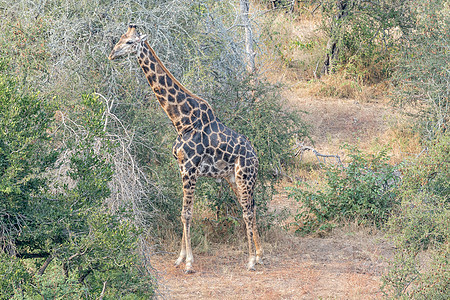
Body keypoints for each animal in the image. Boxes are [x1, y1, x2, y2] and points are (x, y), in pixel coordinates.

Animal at [109, 24, 262, 274]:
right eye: (120, 38)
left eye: (130, 42)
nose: (112, 54)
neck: (181, 121)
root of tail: (256, 157)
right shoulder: (182, 167)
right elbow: (182, 213)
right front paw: (180, 258)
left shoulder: (190, 168)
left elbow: (186, 214)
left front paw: (189, 263)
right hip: (233, 177)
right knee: (250, 207)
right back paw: (259, 255)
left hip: (244, 175)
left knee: (247, 211)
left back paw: (250, 261)